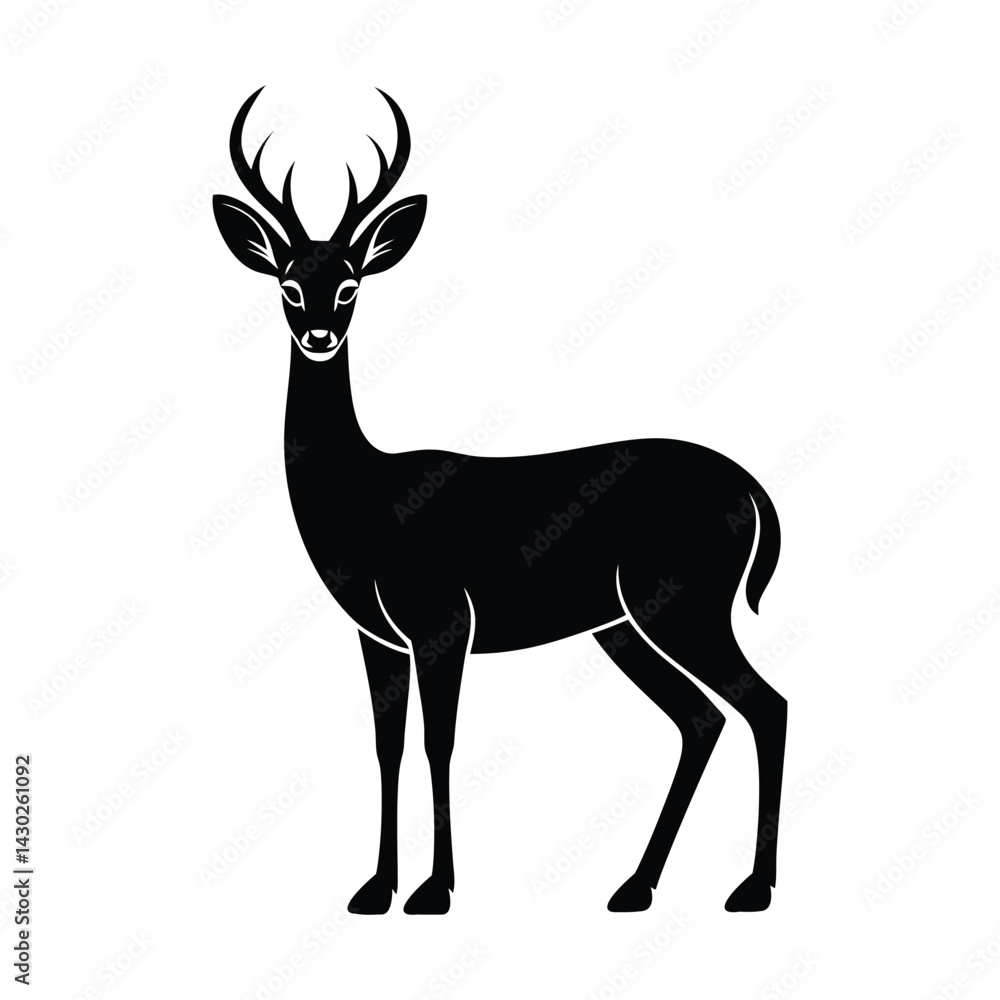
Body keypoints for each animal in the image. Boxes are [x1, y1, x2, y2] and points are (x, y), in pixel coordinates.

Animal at [213, 87, 787, 916]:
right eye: (288, 283)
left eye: (351, 283)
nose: (319, 333)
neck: (365, 494)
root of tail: (750, 487)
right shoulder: (376, 636)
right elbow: (386, 744)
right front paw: (374, 888)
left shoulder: (442, 622)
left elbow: (438, 741)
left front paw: (434, 890)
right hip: (621, 625)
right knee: (703, 717)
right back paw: (635, 886)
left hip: (683, 604)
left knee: (763, 705)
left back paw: (751, 888)